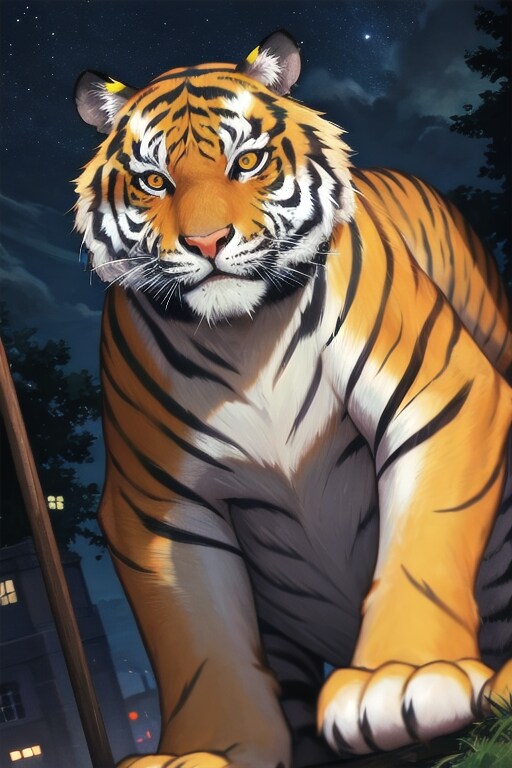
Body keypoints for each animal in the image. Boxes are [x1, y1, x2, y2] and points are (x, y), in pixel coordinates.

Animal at [73, 30, 512, 768]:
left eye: (246, 162)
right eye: (155, 181)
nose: (206, 242)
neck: (244, 334)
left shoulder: (440, 396)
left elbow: (422, 544)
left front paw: (401, 679)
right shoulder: (155, 502)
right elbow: (199, 643)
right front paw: (210, 749)